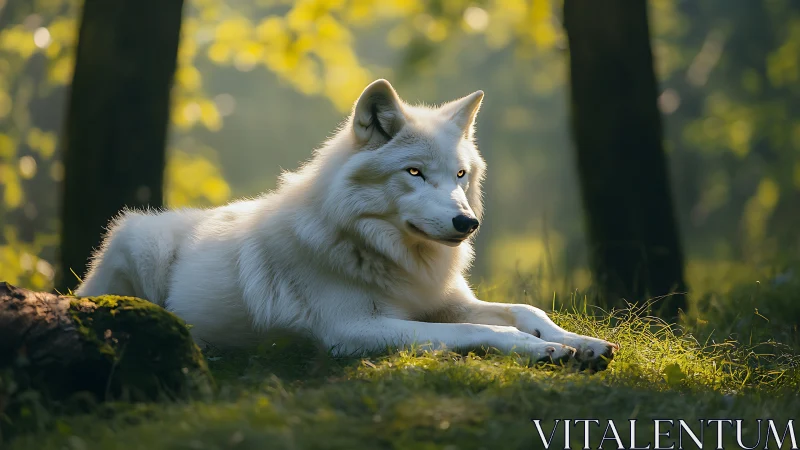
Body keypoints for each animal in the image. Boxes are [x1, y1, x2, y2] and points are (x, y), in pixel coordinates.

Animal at [76, 79, 618, 368]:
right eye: (414, 172)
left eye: (460, 174)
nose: (467, 223)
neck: (381, 253)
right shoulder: (352, 330)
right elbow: (481, 331)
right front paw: (542, 350)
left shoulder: (442, 303)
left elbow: (526, 310)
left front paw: (582, 343)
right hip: (138, 237)